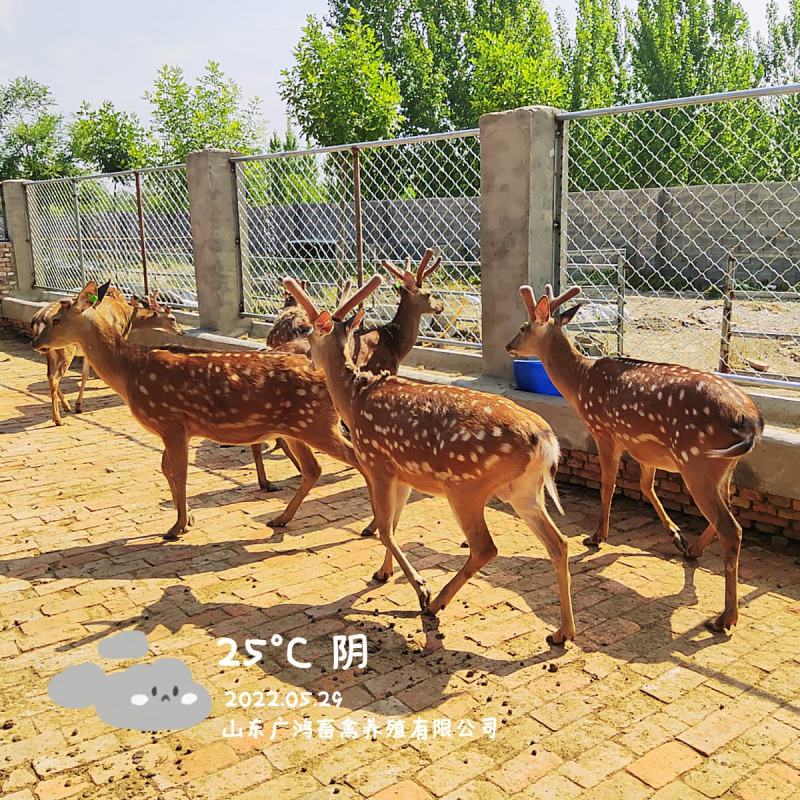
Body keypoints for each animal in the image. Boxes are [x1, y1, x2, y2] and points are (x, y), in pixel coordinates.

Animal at [31, 288, 182, 426]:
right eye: (172, 318)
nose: (181, 331)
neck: (128, 315)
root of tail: (37, 320)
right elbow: (87, 374)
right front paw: (79, 405)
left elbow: (85, 373)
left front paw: (78, 405)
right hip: (66, 350)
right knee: (55, 377)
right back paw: (58, 419)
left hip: (51, 353)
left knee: (49, 375)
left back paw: (66, 406)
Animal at [283, 275, 576, 645]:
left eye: (309, 335)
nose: (308, 357)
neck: (354, 399)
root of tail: (546, 441)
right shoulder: (404, 475)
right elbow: (393, 524)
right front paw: (382, 572)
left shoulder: (377, 463)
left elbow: (384, 529)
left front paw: (420, 588)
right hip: (525, 491)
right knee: (559, 543)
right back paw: (562, 632)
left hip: (466, 487)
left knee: (485, 547)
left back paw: (436, 604)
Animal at [506, 283, 765, 633]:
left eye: (523, 327)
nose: (508, 345)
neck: (580, 383)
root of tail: (751, 421)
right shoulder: (644, 448)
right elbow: (645, 486)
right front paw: (675, 534)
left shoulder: (605, 431)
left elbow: (608, 485)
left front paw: (597, 536)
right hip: (723, 467)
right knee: (729, 511)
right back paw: (693, 550)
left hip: (698, 463)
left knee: (731, 527)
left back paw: (725, 617)